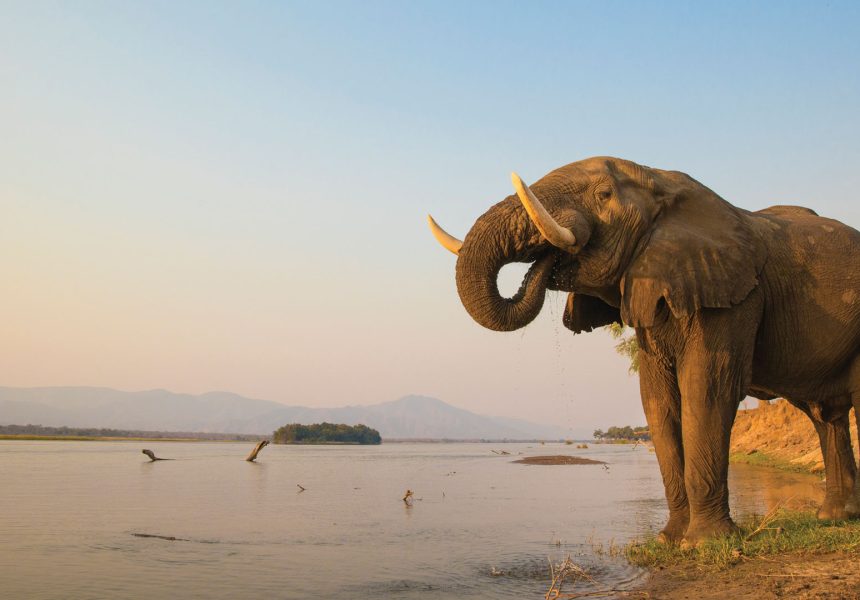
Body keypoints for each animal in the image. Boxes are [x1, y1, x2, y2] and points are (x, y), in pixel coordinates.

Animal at [428, 157, 860, 545]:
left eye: (603, 195)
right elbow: (657, 400)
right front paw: (670, 540)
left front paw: (703, 544)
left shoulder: (734, 296)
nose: (550, 260)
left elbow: (706, 389)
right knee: (825, 417)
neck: (662, 183)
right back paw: (833, 517)